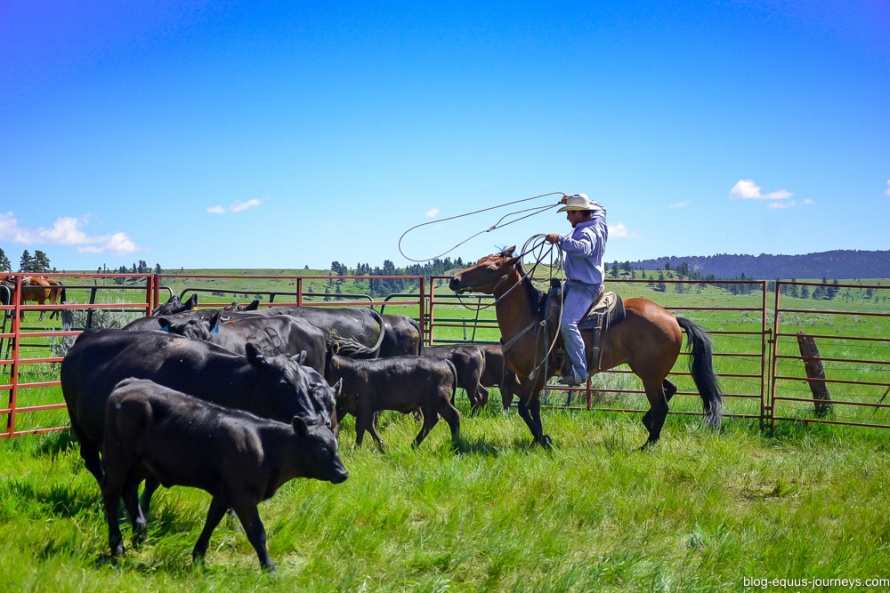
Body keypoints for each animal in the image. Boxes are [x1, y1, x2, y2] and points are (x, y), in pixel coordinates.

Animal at [59, 328, 330, 508]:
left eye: (307, 384)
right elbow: (153, 480)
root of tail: (86, 336)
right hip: (80, 425)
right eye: (284, 384)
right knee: (92, 461)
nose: (311, 418)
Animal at [450, 246, 720, 448]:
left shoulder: (539, 373)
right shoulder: (531, 375)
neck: (532, 317)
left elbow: (524, 409)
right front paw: (540, 438)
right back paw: (647, 423)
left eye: (490, 267)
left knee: (662, 404)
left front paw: (544, 440)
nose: (454, 280)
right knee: (670, 389)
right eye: (480, 260)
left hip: (650, 375)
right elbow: (533, 408)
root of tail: (672, 317)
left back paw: (648, 444)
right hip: (648, 371)